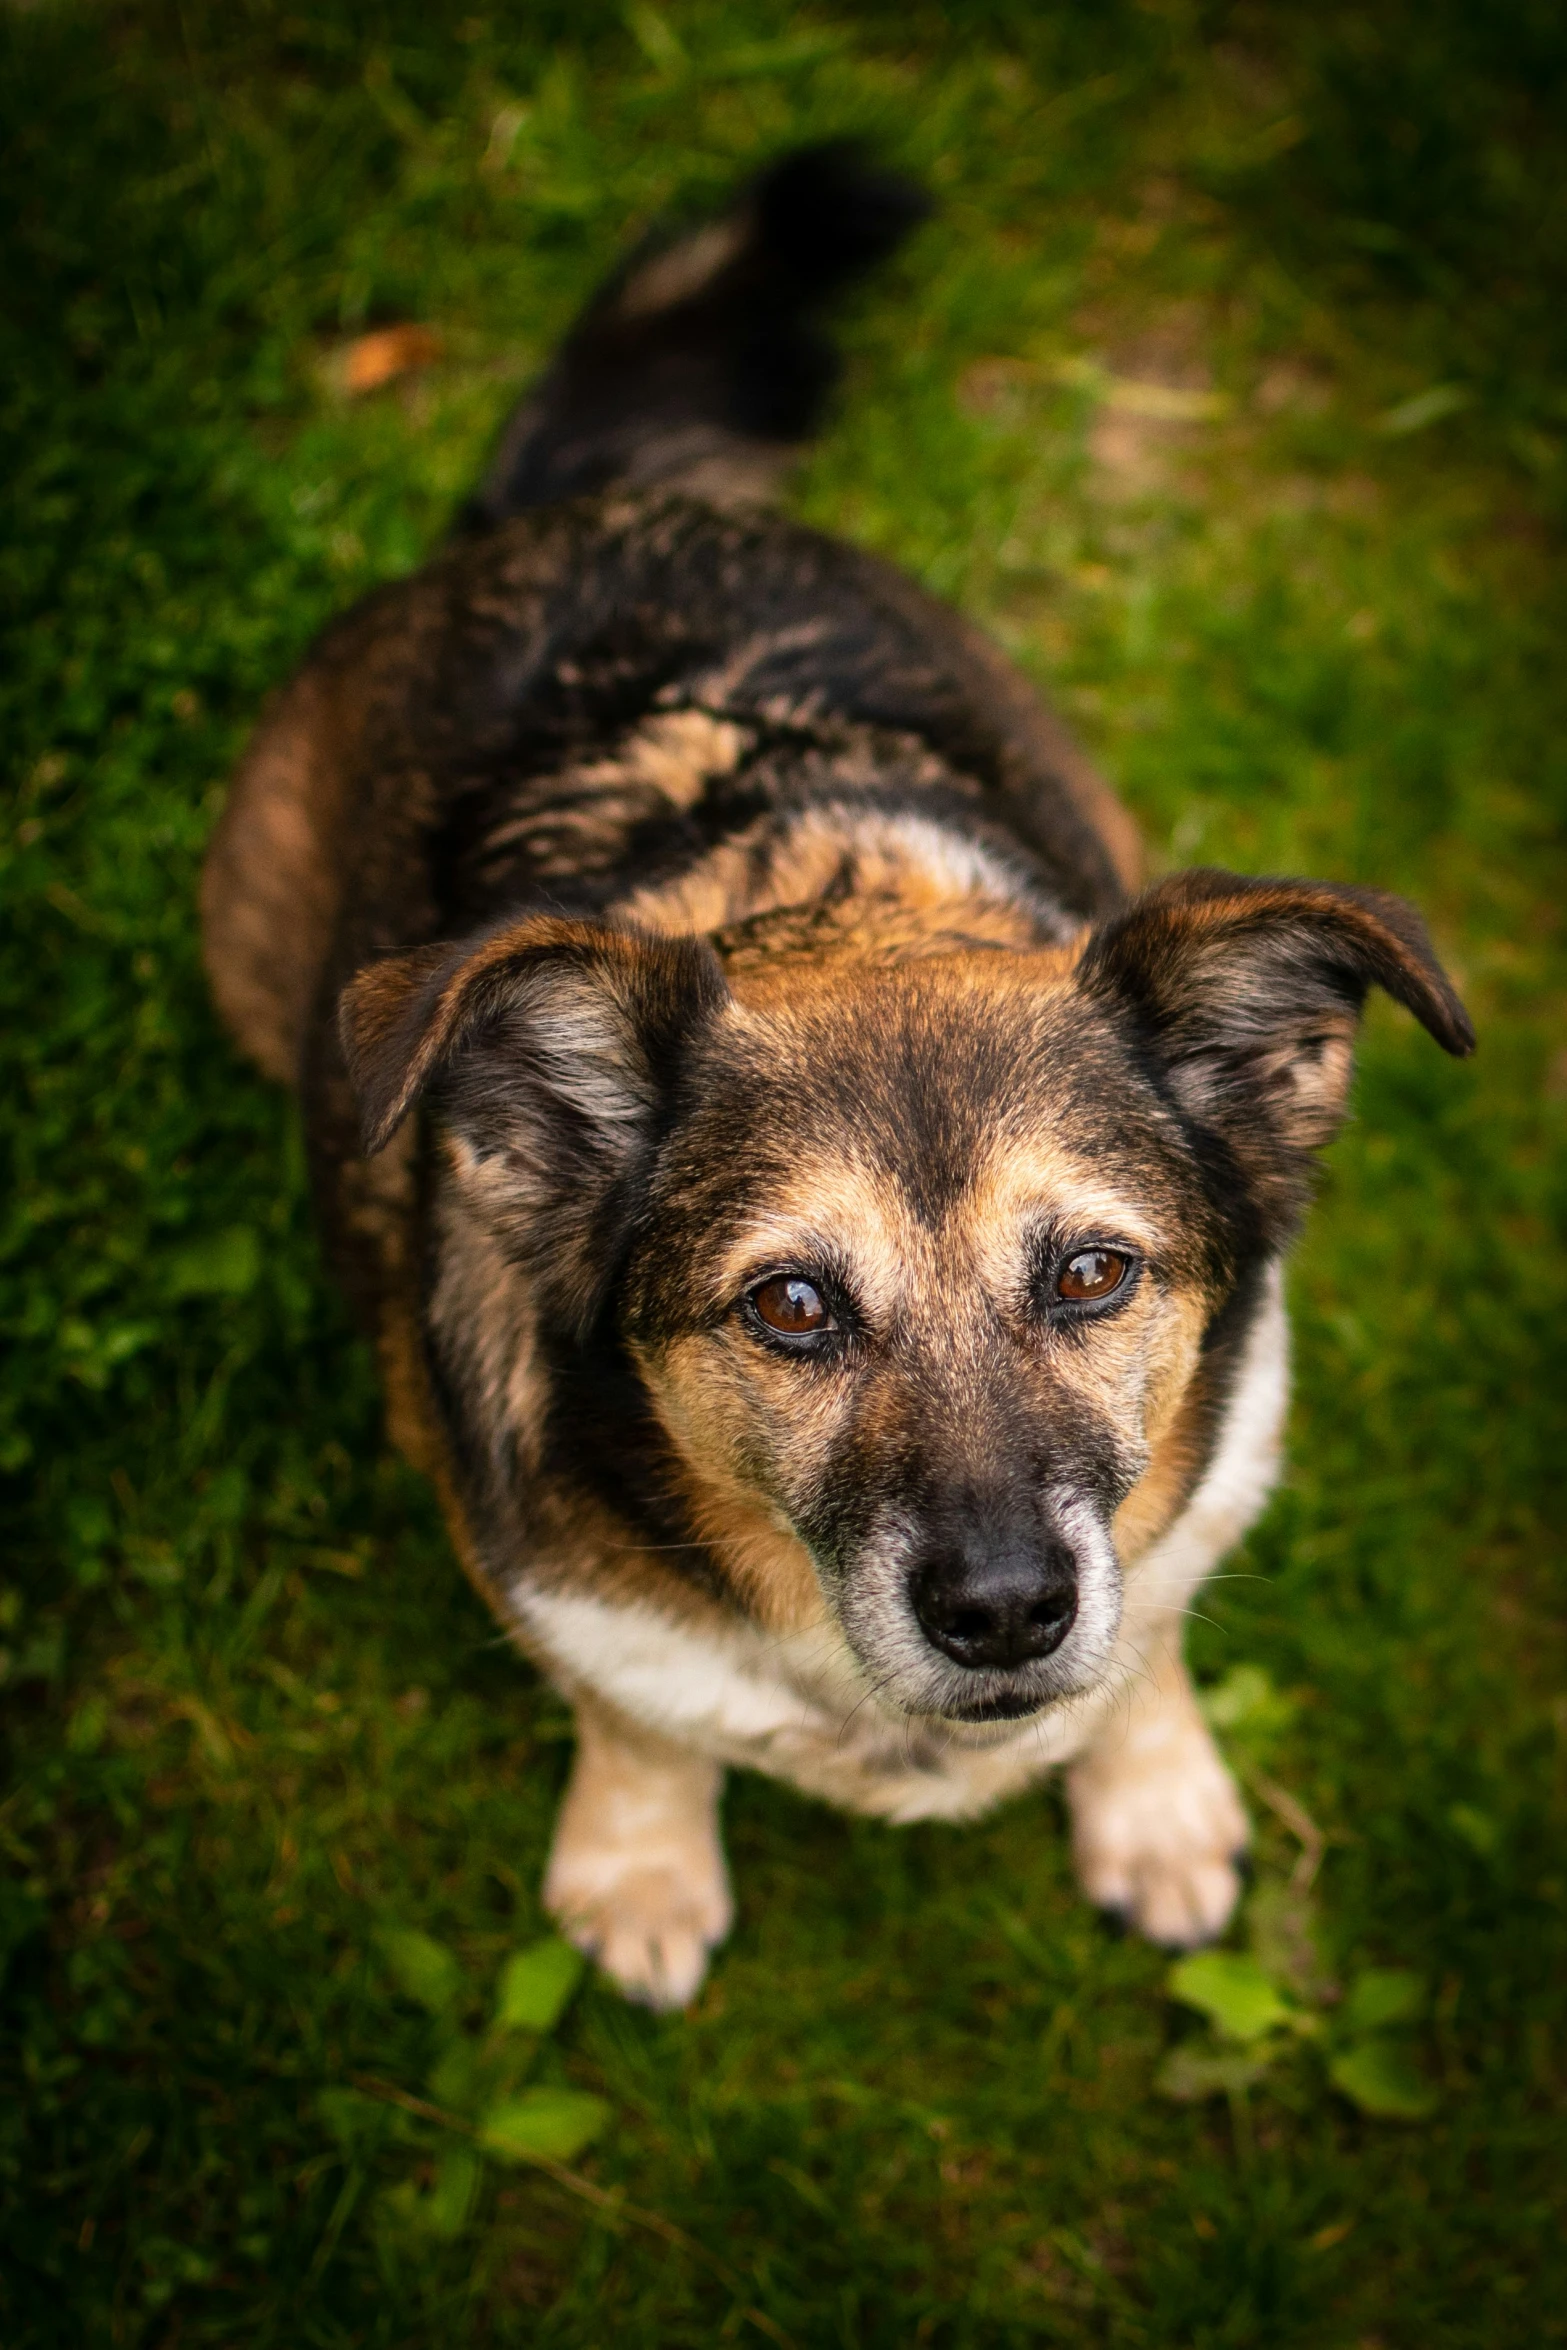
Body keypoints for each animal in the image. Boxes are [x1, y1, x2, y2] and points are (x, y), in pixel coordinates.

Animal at [205, 146, 1475, 2011]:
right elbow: (639, 1721)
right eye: (788, 1308)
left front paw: (1151, 1792)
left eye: (1092, 1274)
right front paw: (640, 1861)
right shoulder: (537, 1561)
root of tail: (568, 511)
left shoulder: (1192, 1499)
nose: (1006, 1612)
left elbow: (1153, 1628)